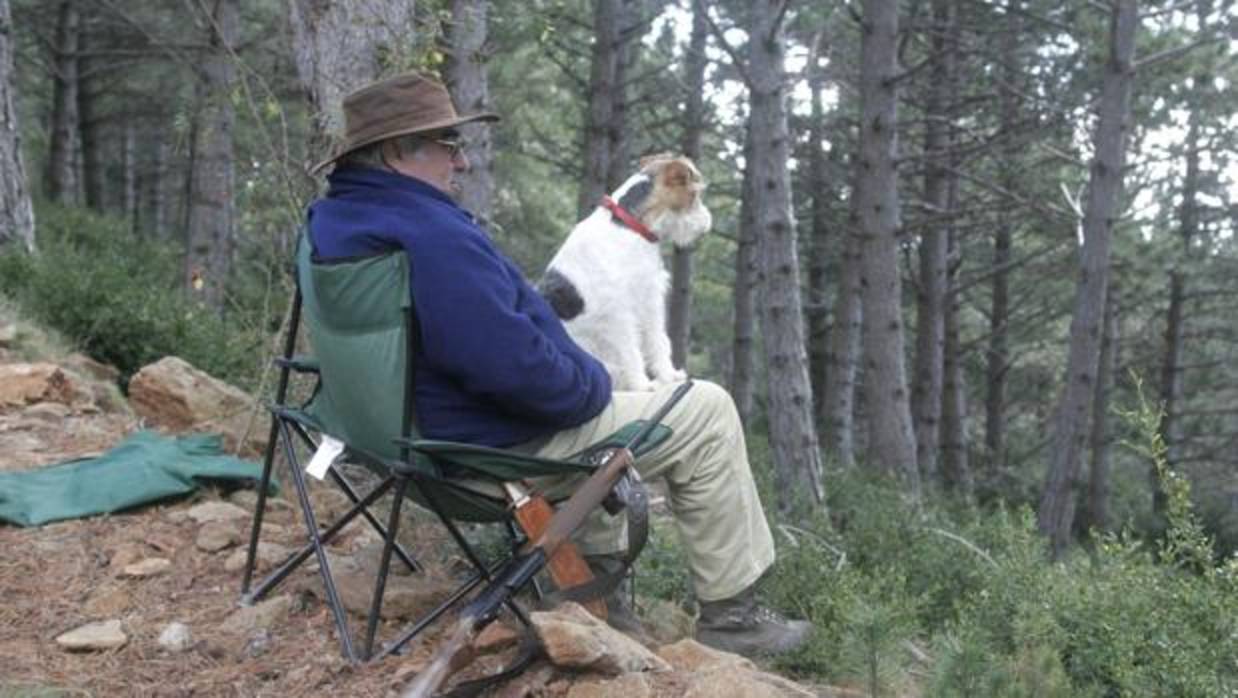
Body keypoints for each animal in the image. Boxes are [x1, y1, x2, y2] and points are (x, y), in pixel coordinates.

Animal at [537, 153, 713, 391]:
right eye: (694, 194)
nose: (707, 223)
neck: (628, 226)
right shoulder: (620, 312)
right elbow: (631, 350)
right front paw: (644, 385)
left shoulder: (650, 301)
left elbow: (658, 341)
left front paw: (669, 376)